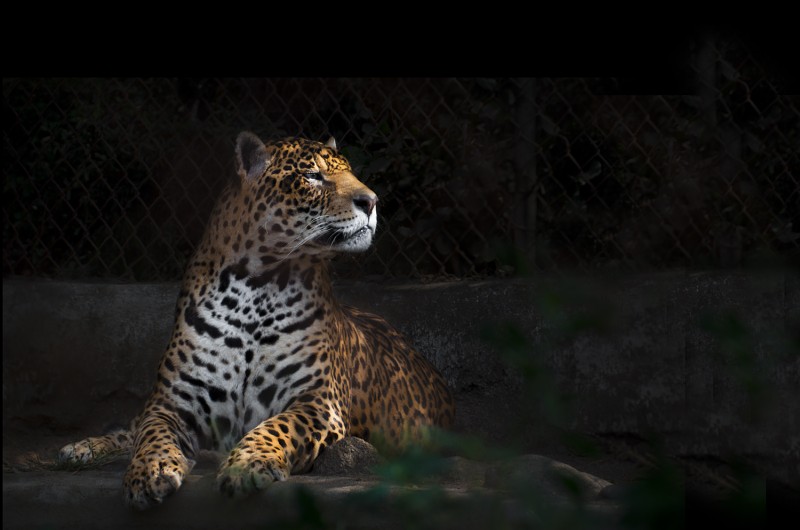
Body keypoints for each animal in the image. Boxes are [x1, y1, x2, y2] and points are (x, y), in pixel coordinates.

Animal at [58, 131, 456, 509]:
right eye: (313, 176)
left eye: (351, 172)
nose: (371, 201)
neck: (257, 287)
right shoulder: (171, 402)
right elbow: (151, 436)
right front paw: (148, 473)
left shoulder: (317, 402)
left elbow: (278, 427)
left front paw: (246, 465)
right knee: (132, 427)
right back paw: (80, 449)